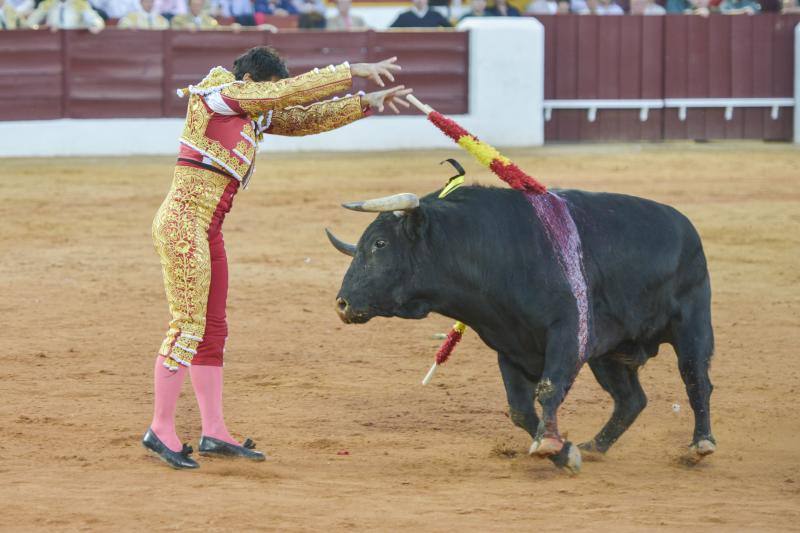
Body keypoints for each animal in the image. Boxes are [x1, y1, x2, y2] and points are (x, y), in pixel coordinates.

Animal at [328, 185, 716, 472]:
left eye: (380, 244)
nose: (342, 304)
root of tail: (685, 226)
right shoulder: (509, 345)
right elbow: (520, 409)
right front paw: (565, 453)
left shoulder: (566, 331)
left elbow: (548, 389)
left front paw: (550, 443)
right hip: (609, 354)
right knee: (631, 399)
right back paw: (594, 446)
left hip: (692, 323)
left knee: (696, 378)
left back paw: (700, 444)